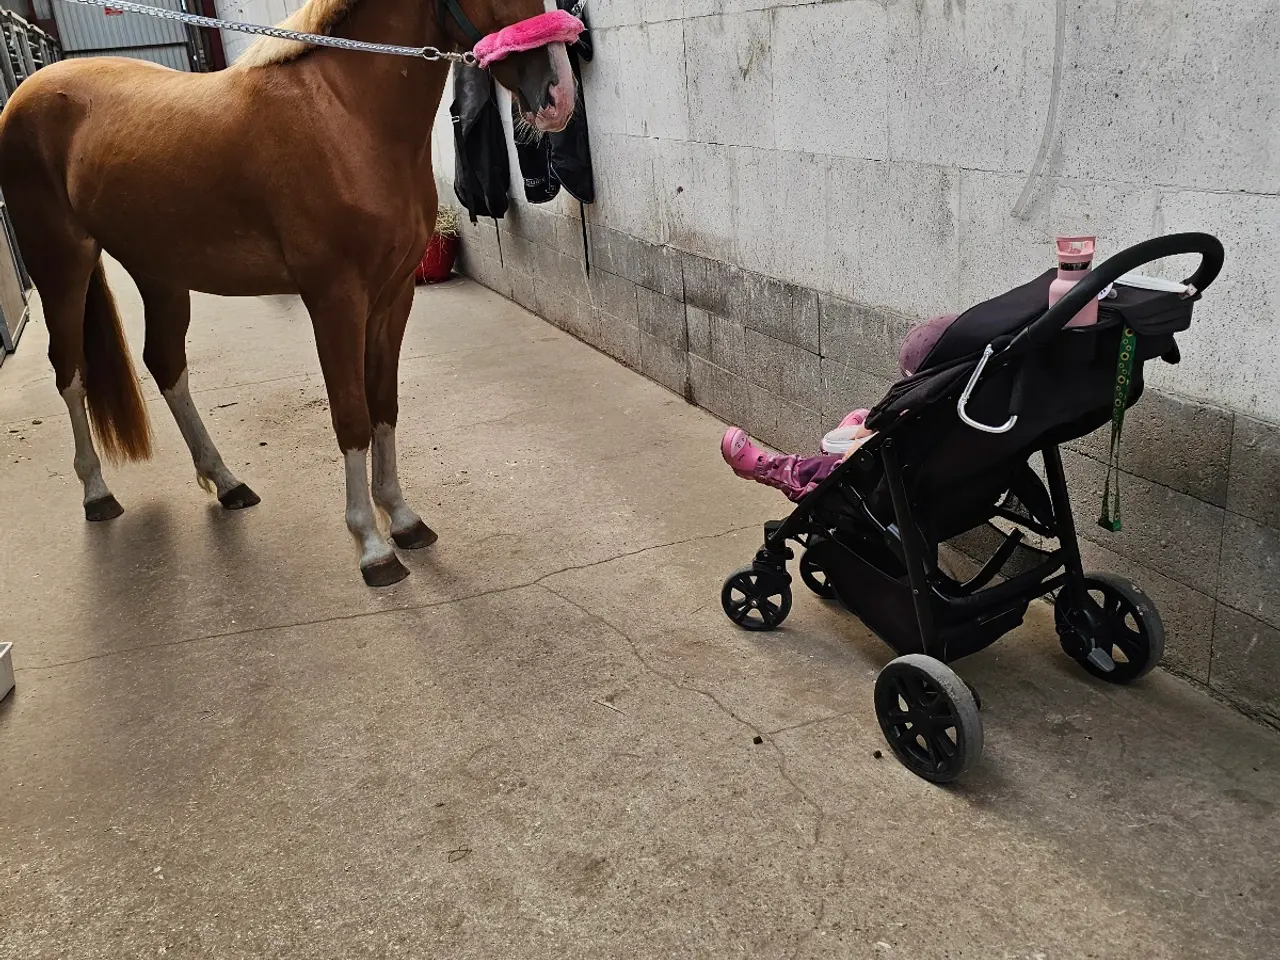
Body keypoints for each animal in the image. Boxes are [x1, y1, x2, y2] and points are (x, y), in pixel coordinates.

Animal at [0, 0, 576, 586]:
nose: (558, 96)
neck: (347, 114)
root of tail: (30, 89)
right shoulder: (335, 301)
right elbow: (351, 416)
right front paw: (372, 546)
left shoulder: (393, 298)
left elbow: (384, 406)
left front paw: (403, 519)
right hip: (62, 267)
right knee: (70, 371)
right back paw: (97, 493)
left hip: (159, 272)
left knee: (165, 364)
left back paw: (227, 483)